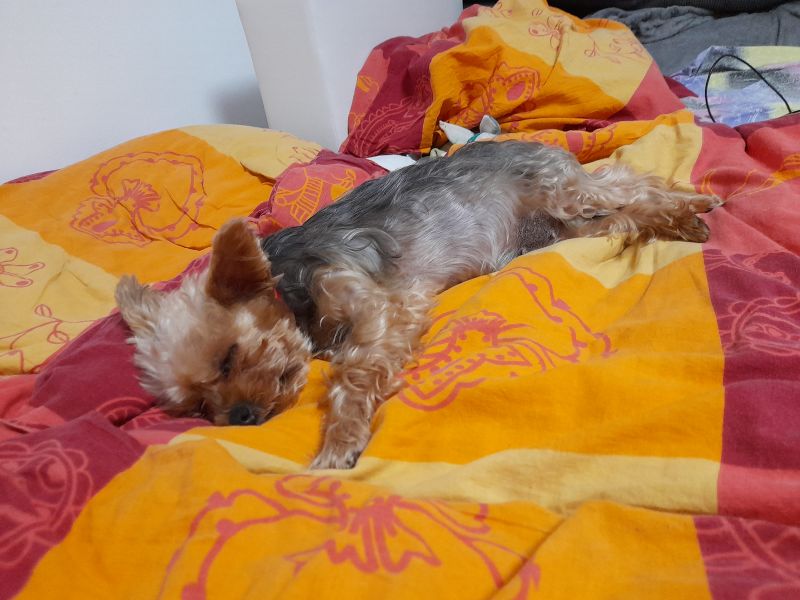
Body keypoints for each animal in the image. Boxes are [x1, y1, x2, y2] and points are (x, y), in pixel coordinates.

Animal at [115, 140, 720, 469]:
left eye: (229, 357)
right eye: (198, 408)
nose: (240, 418)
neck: (291, 291)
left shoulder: (378, 307)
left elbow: (351, 377)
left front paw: (339, 443)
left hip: (563, 194)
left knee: (631, 187)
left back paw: (692, 206)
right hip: (559, 230)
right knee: (623, 209)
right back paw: (680, 217)